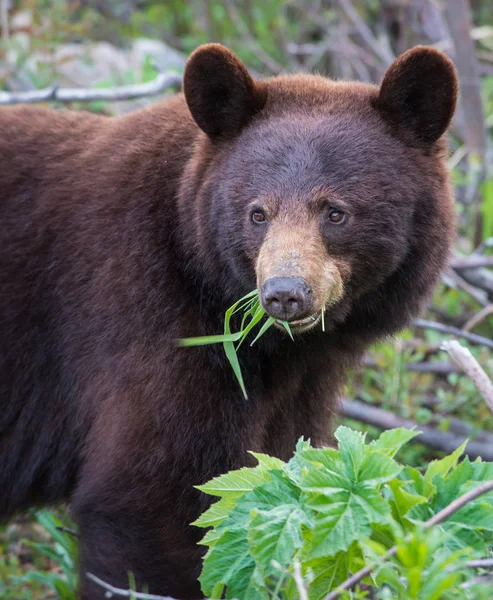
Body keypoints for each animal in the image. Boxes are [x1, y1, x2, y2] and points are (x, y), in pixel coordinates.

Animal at [0, 43, 458, 600]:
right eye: (257, 213)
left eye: (335, 212)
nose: (284, 294)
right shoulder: (145, 320)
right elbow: (145, 496)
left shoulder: (297, 388)